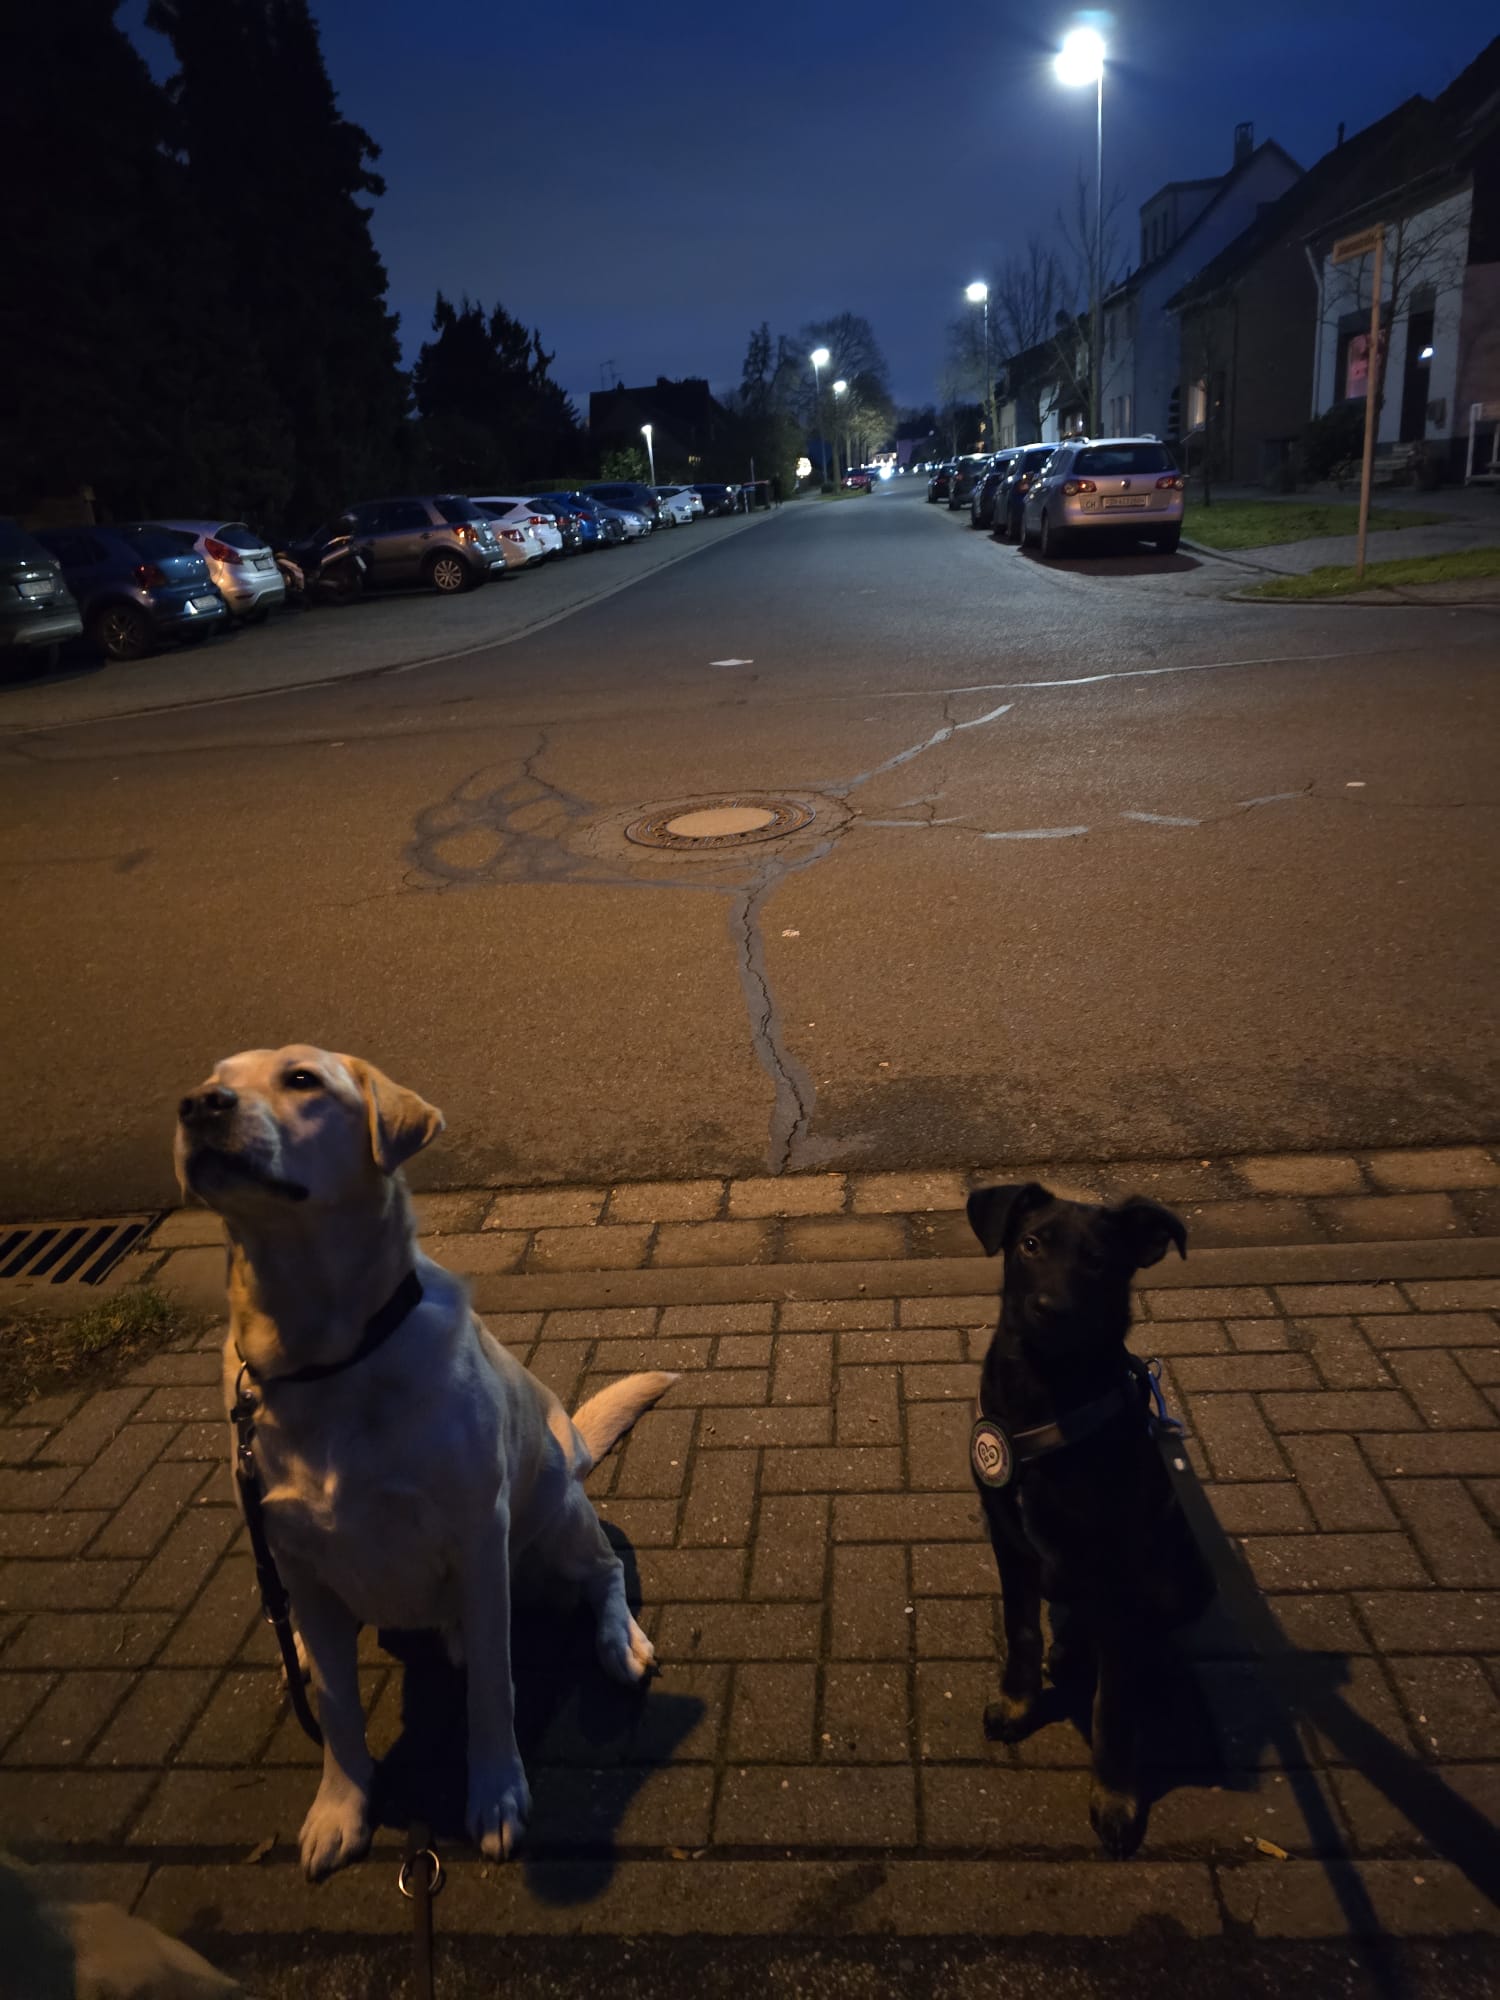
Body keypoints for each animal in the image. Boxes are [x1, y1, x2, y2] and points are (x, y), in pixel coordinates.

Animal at [175, 1044, 677, 1880]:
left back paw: (616, 1642)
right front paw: (340, 1809)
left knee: (604, 1573)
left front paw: (498, 1794)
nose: (197, 1105)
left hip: (555, 1514)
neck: (326, 1360)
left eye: (302, 1080)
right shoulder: (296, 1555)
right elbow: (338, 1711)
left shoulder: (477, 1538)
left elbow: (495, 1695)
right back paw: (305, 1648)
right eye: (216, 1077)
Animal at [966, 1181, 1215, 1857]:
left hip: (1183, 1578)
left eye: (1101, 1261)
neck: (1047, 1389)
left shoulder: (1122, 1572)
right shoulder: (1010, 1543)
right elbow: (1023, 1632)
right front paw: (1018, 1705)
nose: (1049, 1309)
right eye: (1030, 1244)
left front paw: (1116, 1797)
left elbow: (1113, 1707)